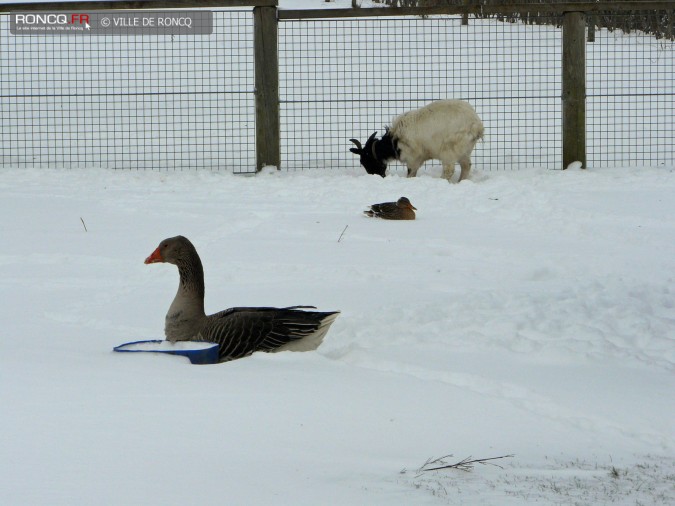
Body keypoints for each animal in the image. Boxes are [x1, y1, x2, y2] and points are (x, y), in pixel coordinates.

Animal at [352, 100, 484, 183]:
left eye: (366, 160)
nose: (379, 176)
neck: (394, 140)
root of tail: (476, 125)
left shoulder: (413, 158)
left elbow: (411, 173)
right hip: (465, 151)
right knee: (466, 166)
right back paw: (461, 181)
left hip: (449, 150)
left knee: (449, 170)